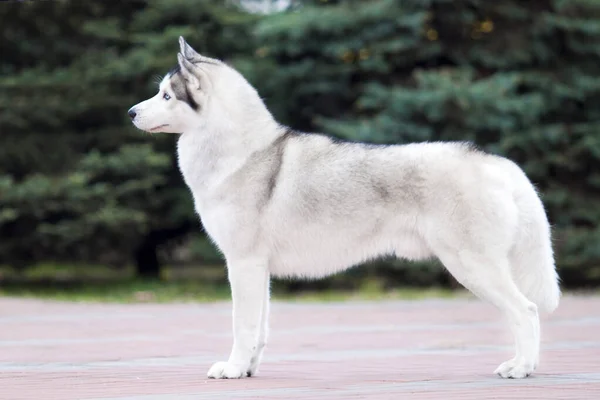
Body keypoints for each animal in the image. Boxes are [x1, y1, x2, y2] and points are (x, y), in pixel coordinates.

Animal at [127, 37, 564, 382]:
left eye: (166, 95)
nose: (131, 112)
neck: (239, 152)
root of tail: (494, 161)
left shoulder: (243, 263)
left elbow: (243, 326)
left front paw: (232, 370)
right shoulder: (257, 269)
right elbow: (260, 331)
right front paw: (247, 369)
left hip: (472, 265)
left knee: (526, 311)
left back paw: (521, 368)